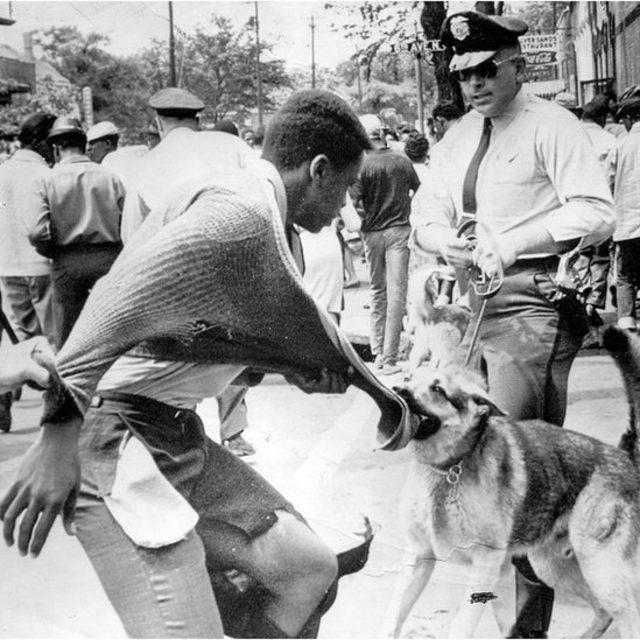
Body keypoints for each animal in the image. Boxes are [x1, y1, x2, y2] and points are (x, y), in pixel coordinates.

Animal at [382, 328, 640, 636]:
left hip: (601, 570)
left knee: (629, 619)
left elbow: (461, 625)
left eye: (439, 390)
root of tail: (623, 454)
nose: (399, 391)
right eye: (409, 379)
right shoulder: (418, 557)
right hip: (552, 566)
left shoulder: (485, 564)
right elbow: (392, 617)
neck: (449, 468)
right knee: (603, 613)